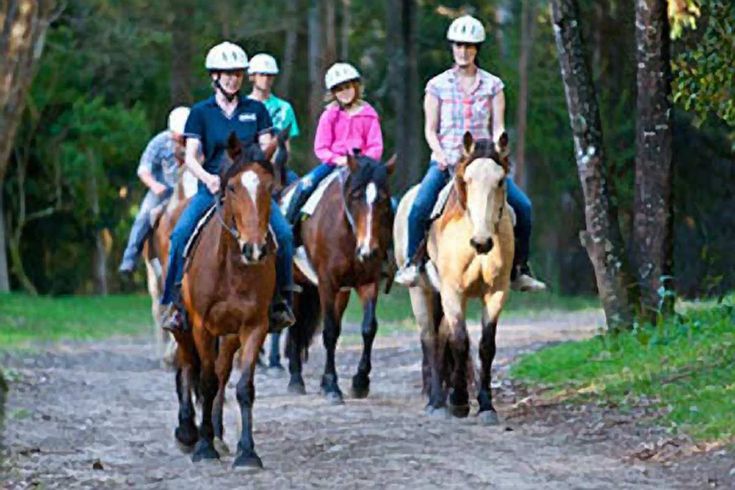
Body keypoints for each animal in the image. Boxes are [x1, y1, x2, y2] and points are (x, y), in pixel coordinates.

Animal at [171, 133, 280, 468]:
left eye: (270, 187)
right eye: (232, 187)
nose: (254, 249)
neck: (232, 268)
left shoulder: (254, 326)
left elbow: (243, 387)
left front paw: (247, 452)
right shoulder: (201, 326)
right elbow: (204, 382)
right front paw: (203, 447)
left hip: (229, 335)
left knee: (220, 375)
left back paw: (217, 434)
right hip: (184, 328)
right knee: (187, 366)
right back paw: (188, 433)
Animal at [284, 155, 396, 404]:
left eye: (384, 199)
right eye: (355, 197)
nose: (368, 251)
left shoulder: (368, 282)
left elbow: (368, 328)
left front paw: (360, 382)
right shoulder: (327, 283)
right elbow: (330, 332)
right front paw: (332, 386)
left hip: (341, 291)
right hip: (297, 285)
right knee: (296, 326)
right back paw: (296, 380)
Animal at [394, 132, 516, 424]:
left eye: (500, 180)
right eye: (467, 180)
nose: (482, 242)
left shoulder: (496, 292)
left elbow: (485, 345)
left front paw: (486, 406)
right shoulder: (452, 291)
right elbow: (460, 342)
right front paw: (459, 401)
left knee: (441, 336)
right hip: (421, 291)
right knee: (429, 338)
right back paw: (437, 401)